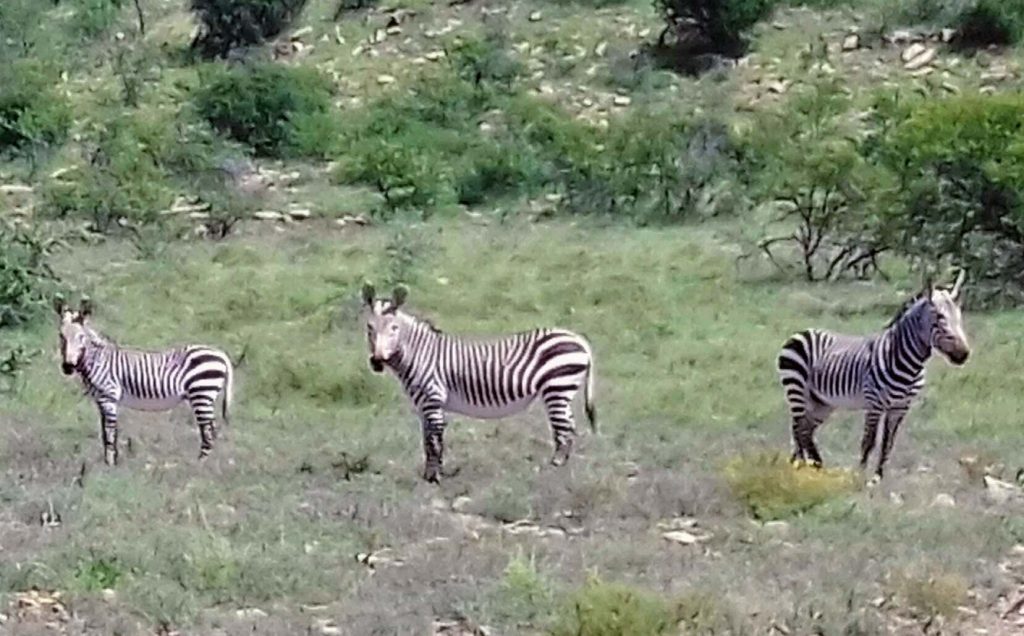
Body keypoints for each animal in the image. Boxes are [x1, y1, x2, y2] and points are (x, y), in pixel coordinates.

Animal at [55, 298, 235, 466]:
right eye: (61, 336)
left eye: (81, 337)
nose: (68, 367)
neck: (97, 360)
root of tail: (221, 354)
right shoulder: (101, 401)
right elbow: (105, 433)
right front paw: (109, 463)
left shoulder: (109, 397)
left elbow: (110, 433)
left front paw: (111, 464)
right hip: (204, 397)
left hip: (202, 394)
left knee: (208, 432)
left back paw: (199, 465)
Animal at [361, 283, 597, 483]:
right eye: (369, 327)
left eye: (394, 328)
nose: (377, 361)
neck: (419, 354)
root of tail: (579, 339)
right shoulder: (422, 406)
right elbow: (426, 440)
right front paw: (430, 475)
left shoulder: (433, 399)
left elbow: (434, 442)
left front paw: (434, 478)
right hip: (562, 391)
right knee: (570, 426)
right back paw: (563, 465)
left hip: (557, 388)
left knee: (564, 430)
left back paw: (554, 468)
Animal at [776, 270, 970, 483]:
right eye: (938, 318)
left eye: (959, 318)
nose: (963, 354)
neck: (907, 362)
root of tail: (800, 332)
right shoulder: (875, 403)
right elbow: (868, 442)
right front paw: (860, 476)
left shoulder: (900, 407)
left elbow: (888, 443)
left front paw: (878, 477)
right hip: (797, 389)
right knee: (798, 429)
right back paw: (801, 466)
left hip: (821, 402)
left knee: (804, 430)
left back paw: (810, 466)